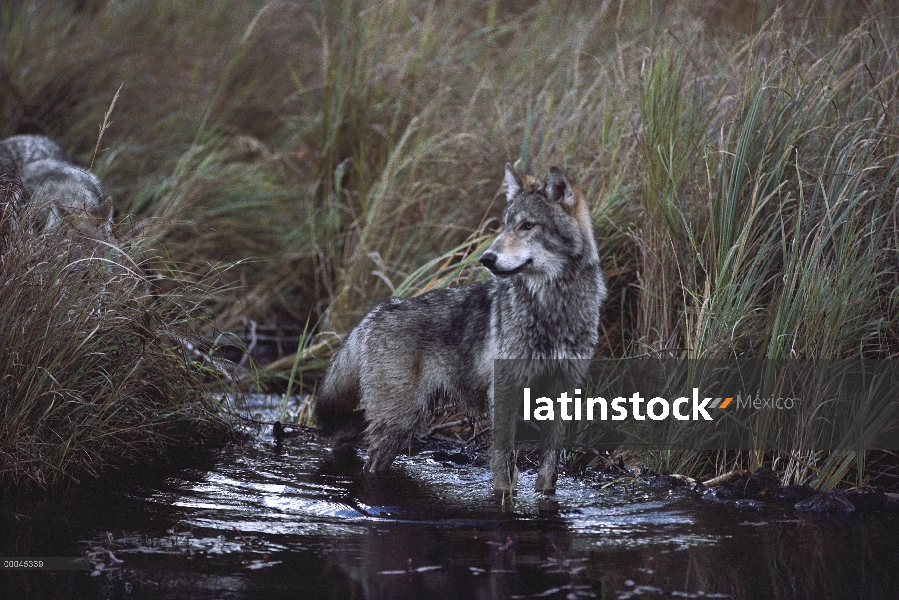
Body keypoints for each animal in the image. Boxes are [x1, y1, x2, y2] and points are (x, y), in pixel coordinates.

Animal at [312, 164, 608, 492]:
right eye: (505, 226)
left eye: (528, 225)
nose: (486, 258)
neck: (553, 311)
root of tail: (376, 311)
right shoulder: (503, 392)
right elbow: (503, 466)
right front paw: (503, 496)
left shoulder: (562, 393)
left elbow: (548, 472)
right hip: (399, 423)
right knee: (367, 462)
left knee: (342, 439)